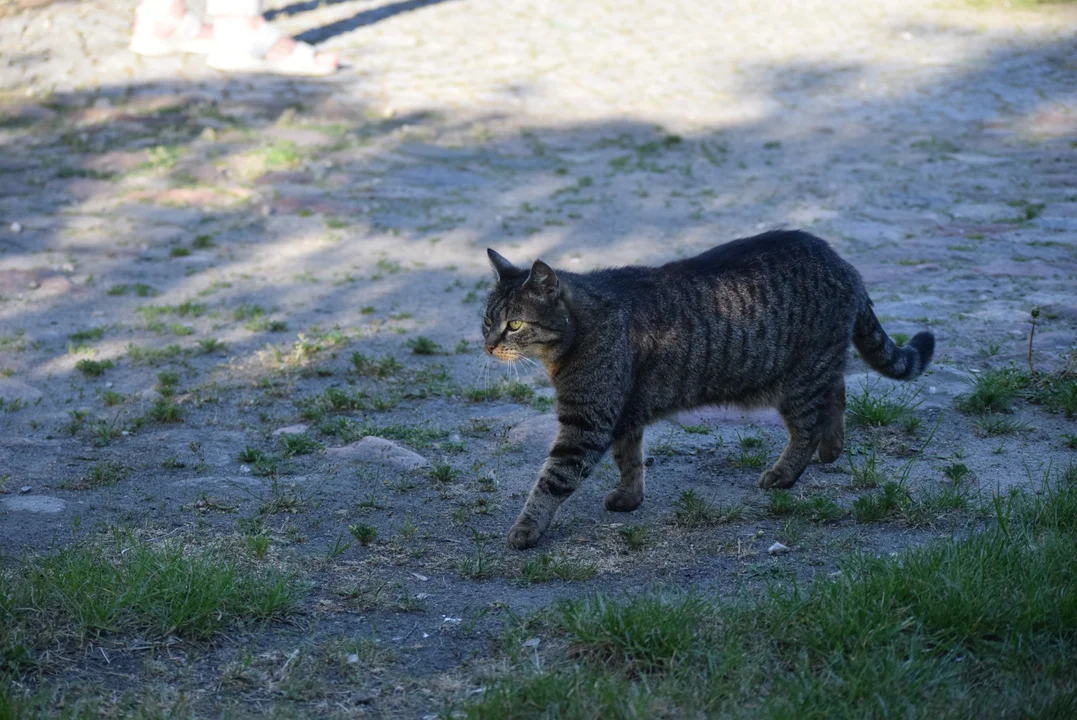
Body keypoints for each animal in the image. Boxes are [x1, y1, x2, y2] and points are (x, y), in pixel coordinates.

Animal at [482, 227, 934, 546]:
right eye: (487, 321)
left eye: (515, 324)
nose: (487, 344)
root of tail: (844, 263)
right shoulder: (624, 413)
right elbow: (629, 459)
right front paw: (629, 497)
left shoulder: (587, 423)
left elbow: (552, 480)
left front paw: (525, 528)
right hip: (816, 368)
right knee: (837, 391)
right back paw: (832, 447)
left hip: (797, 380)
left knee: (808, 425)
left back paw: (785, 473)